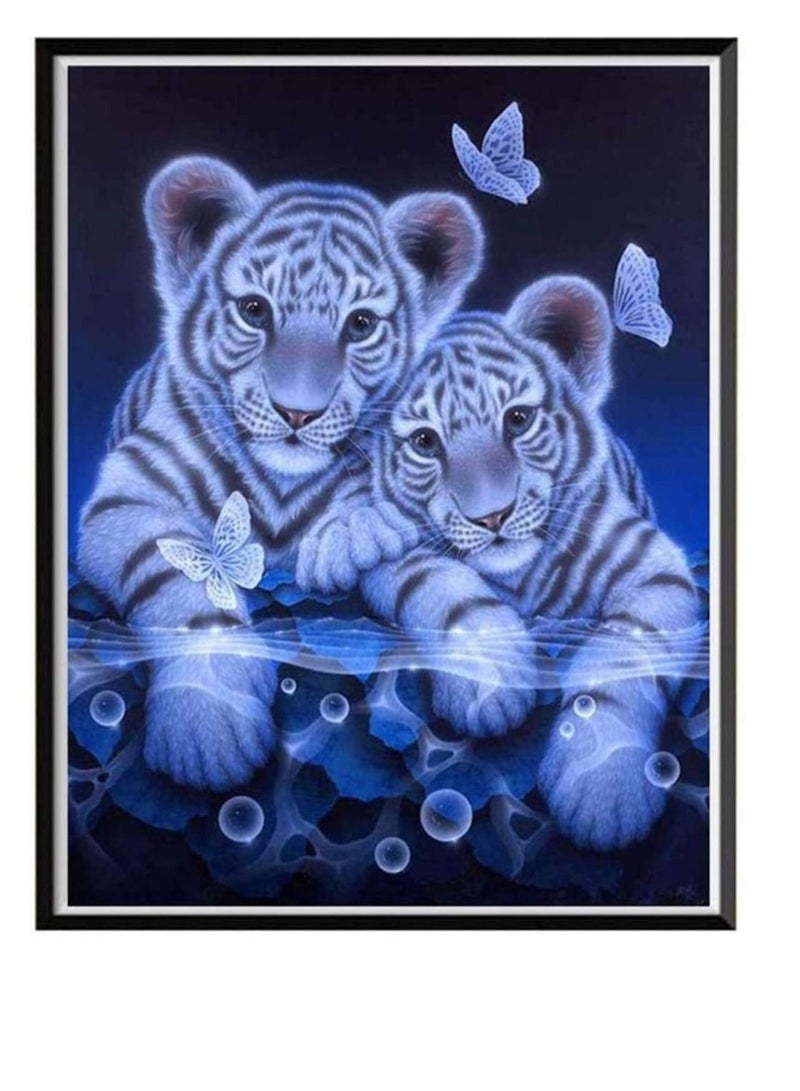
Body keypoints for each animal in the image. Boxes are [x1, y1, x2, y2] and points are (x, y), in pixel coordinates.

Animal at [77, 155, 484, 792]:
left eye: (360, 323)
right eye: (254, 310)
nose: (298, 412)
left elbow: (433, 575)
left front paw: (493, 669)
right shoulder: (126, 500)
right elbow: (182, 578)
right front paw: (207, 724)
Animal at [315, 274, 699, 851]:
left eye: (517, 419)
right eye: (425, 441)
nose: (492, 515)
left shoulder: (654, 567)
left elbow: (626, 651)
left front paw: (603, 790)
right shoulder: (398, 557)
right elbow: (443, 587)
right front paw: (491, 684)